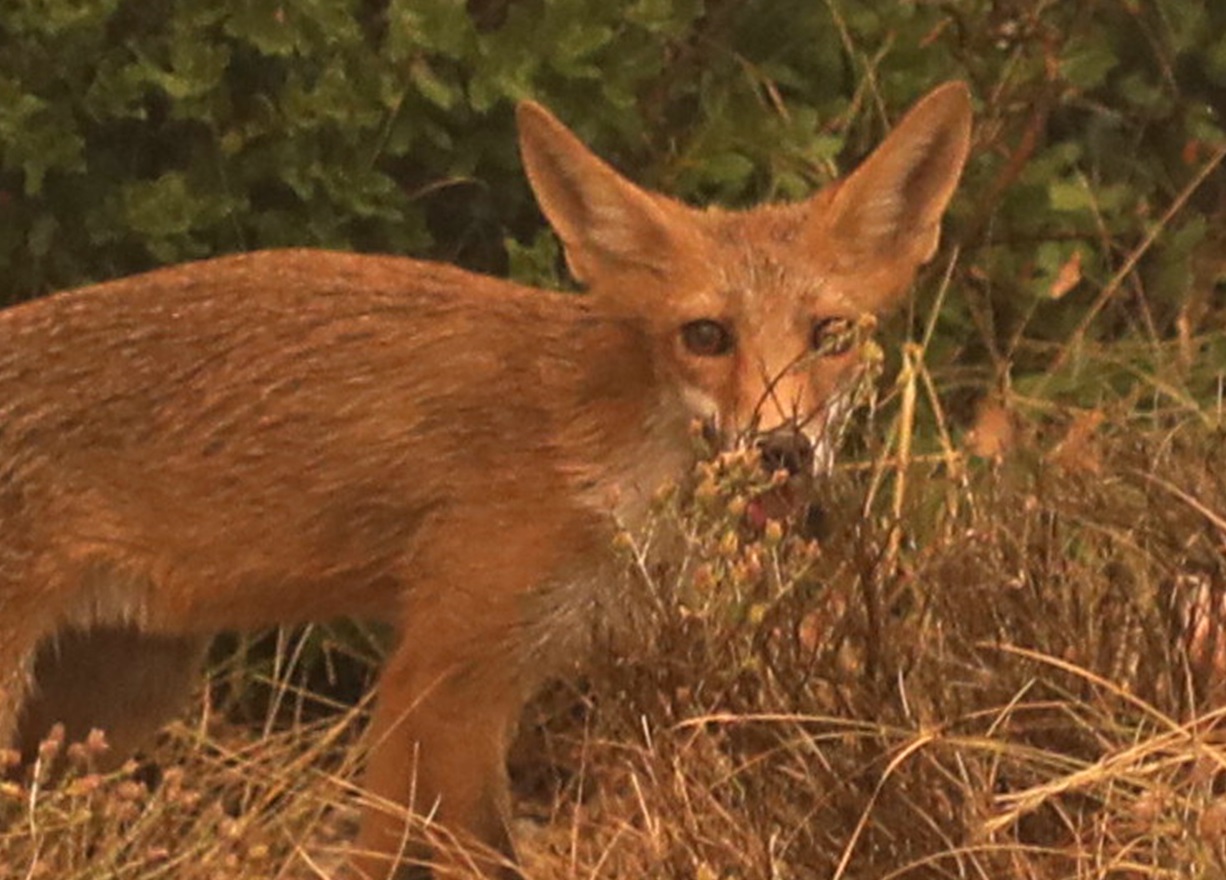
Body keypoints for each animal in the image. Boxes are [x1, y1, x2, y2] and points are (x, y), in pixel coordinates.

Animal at [2, 80, 975, 877]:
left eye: (830, 335)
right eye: (705, 335)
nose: (781, 447)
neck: (592, 452)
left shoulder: (491, 674)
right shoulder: (440, 671)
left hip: (115, 701)